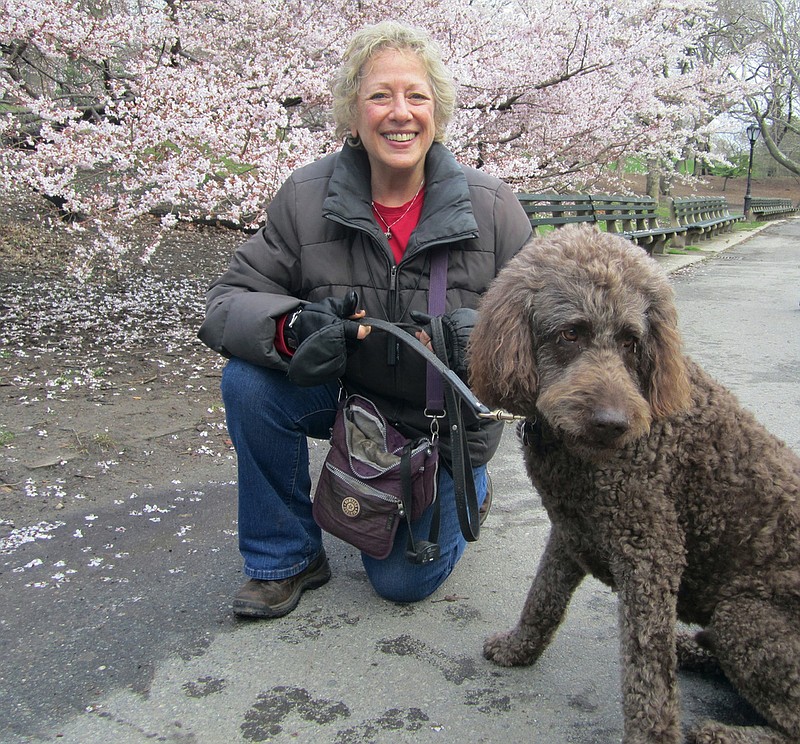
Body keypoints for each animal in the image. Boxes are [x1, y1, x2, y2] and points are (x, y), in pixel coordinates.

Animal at [468, 224, 800, 740]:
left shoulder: (649, 555)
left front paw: (651, 733)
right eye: (570, 333)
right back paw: (693, 649)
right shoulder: (572, 531)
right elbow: (542, 598)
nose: (613, 423)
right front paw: (519, 648)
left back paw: (720, 729)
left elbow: (647, 673)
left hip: (744, 616)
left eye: (631, 341)